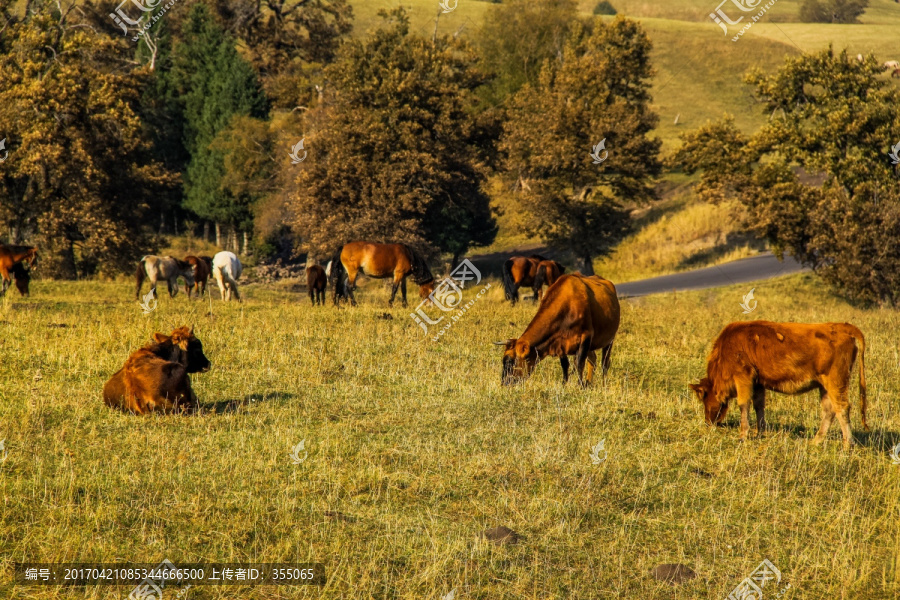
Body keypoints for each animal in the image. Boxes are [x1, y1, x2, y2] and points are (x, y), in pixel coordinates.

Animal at [496, 276, 624, 386]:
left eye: (510, 362)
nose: (504, 383)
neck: (567, 306)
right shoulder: (559, 342)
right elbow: (565, 365)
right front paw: (565, 384)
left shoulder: (586, 337)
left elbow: (579, 364)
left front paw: (579, 385)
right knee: (592, 359)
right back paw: (588, 382)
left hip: (609, 340)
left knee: (604, 363)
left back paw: (603, 383)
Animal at [688, 322, 864, 448]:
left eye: (704, 398)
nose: (708, 422)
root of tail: (842, 327)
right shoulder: (758, 383)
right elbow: (758, 406)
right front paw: (759, 433)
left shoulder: (743, 377)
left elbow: (743, 405)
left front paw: (743, 436)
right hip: (825, 387)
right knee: (829, 410)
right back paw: (816, 441)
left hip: (836, 382)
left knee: (842, 408)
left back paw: (848, 444)